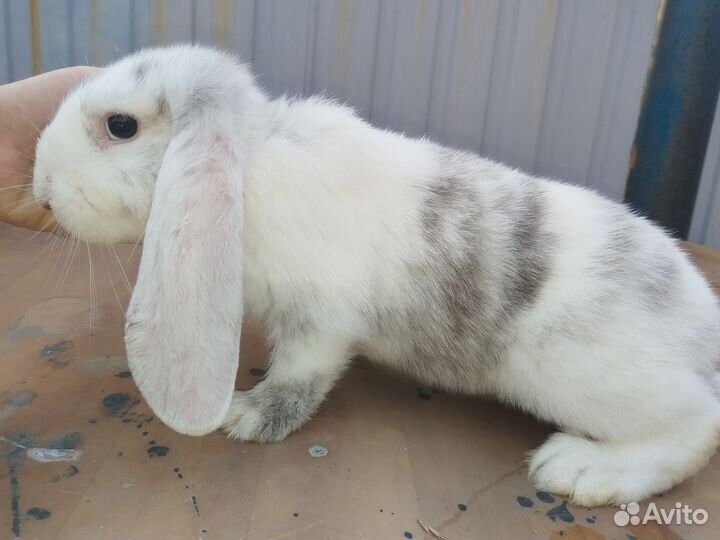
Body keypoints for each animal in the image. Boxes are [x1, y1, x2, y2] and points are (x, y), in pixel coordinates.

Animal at [32, 45, 720, 507]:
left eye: (121, 126)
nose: (39, 188)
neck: (252, 161)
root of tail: (702, 326)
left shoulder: (319, 321)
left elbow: (300, 375)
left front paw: (248, 417)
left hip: (592, 380)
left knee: (696, 428)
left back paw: (579, 471)